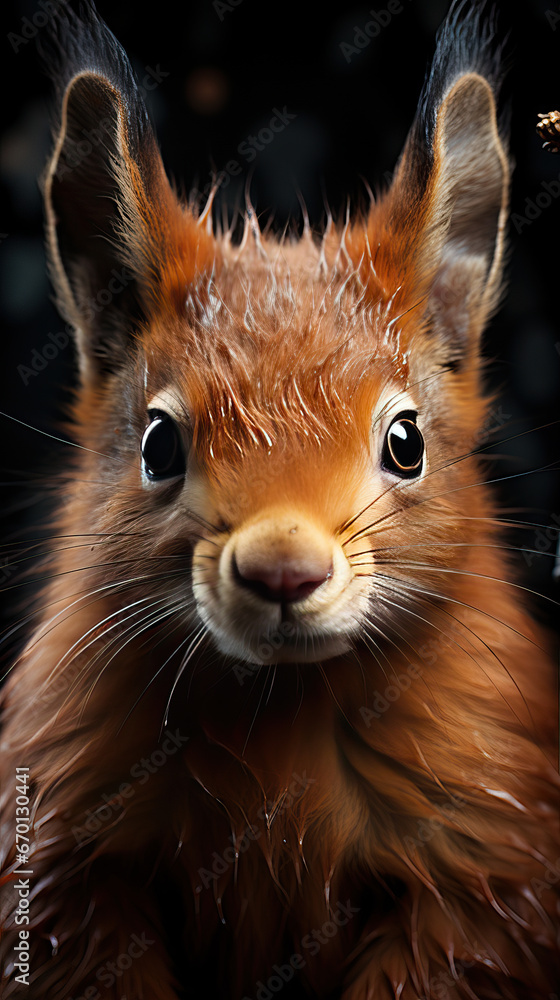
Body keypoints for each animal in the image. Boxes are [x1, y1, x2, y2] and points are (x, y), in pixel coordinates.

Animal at [0, 2, 558, 998]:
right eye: (158, 445)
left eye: (408, 443)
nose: (284, 572)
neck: (277, 714)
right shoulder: (65, 853)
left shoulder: (485, 868)